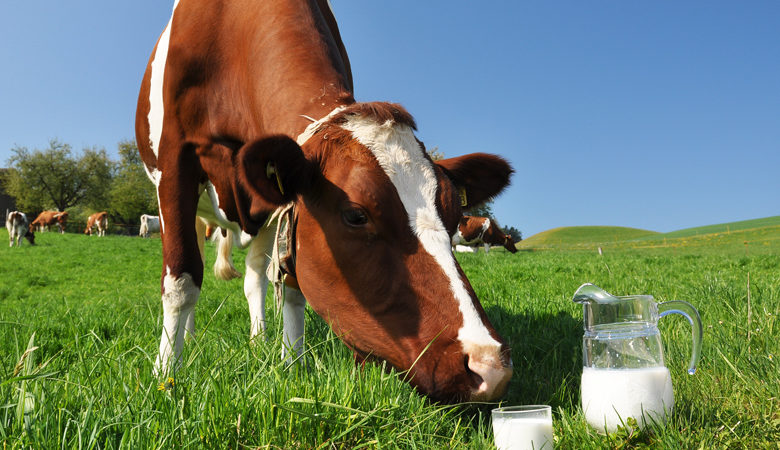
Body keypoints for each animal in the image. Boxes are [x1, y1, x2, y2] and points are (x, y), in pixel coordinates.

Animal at [137, 0, 516, 400]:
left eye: (454, 213)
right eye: (356, 215)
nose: (489, 365)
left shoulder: (284, 207)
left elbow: (292, 287)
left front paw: (292, 365)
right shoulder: (174, 161)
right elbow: (181, 279)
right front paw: (166, 375)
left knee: (255, 277)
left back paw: (258, 341)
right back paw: (189, 339)